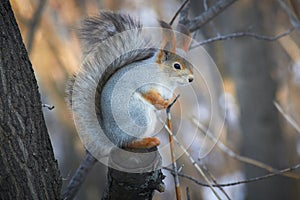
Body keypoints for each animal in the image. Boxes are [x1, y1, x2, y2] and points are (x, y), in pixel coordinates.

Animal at [63, 11, 195, 200]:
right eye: (177, 66)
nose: (191, 79)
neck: (163, 76)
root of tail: (109, 135)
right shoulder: (143, 82)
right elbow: (149, 94)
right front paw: (163, 103)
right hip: (139, 117)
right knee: (126, 143)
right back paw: (147, 141)